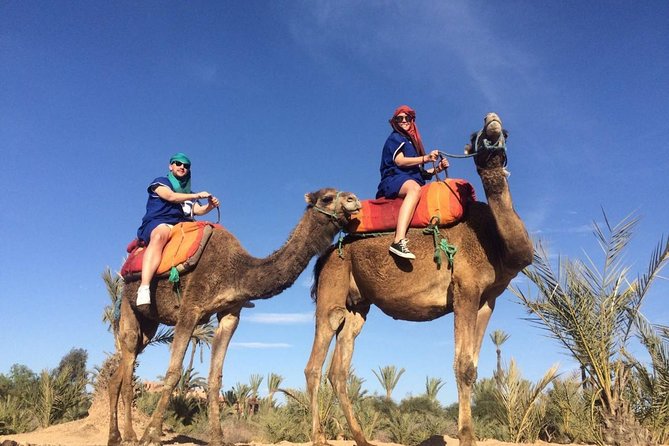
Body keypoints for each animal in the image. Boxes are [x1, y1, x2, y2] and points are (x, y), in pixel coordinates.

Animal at [107, 186, 360, 444]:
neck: (236, 271)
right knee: (128, 360)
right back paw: (130, 435)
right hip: (128, 304)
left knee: (119, 372)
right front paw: (150, 435)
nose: (354, 200)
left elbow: (215, 378)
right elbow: (173, 372)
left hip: (149, 324)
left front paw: (217, 437)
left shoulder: (230, 313)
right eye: (327, 198)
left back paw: (115, 436)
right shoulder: (190, 308)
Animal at [304, 112, 532, 446]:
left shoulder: (488, 298)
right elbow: (463, 366)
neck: (494, 240)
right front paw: (466, 436)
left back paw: (361, 438)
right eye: (475, 135)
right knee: (316, 361)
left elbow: (474, 366)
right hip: (333, 286)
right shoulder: (465, 288)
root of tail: (326, 256)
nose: (492, 119)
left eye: (505, 132)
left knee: (339, 368)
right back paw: (319, 437)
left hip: (357, 304)